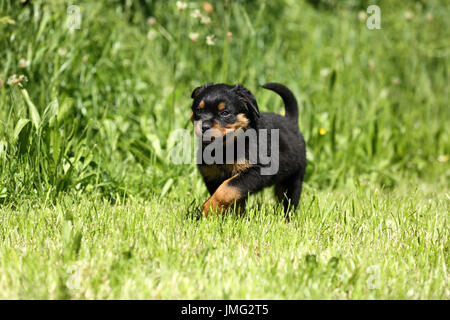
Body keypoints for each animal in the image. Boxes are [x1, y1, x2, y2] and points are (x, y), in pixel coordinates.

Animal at [190, 82, 306, 218]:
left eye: (225, 113)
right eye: (198, 110)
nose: (204, 126)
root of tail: (291, 121)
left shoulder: (256, 171)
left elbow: (226, 188)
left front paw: (210, 208)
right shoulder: (211, 175)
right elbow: (229, 195)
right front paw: (228, 215)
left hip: (293, 180)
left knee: (288, 202)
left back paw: (286, 219)